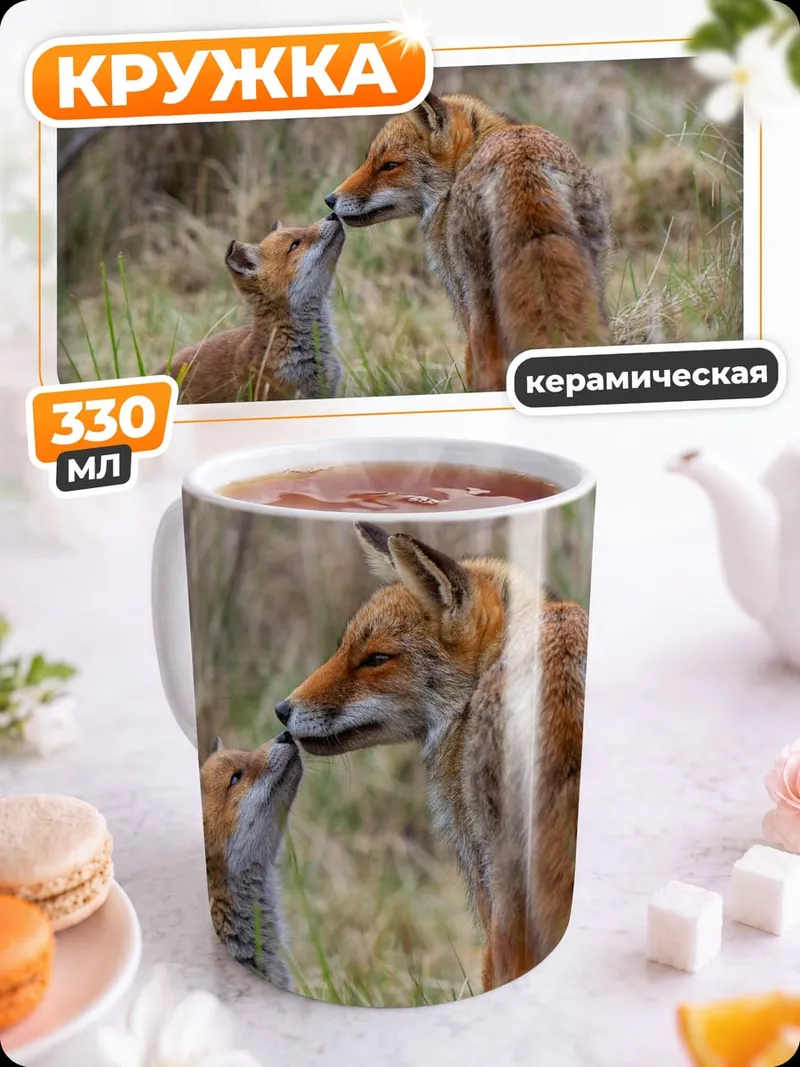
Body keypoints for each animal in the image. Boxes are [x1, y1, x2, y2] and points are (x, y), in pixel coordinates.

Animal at [325, 93, 613, 392]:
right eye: (369, 159)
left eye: (390, 165)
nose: (330, 200)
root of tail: (522, 161)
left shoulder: (461, 297)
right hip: (594, 282)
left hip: (481, 301)